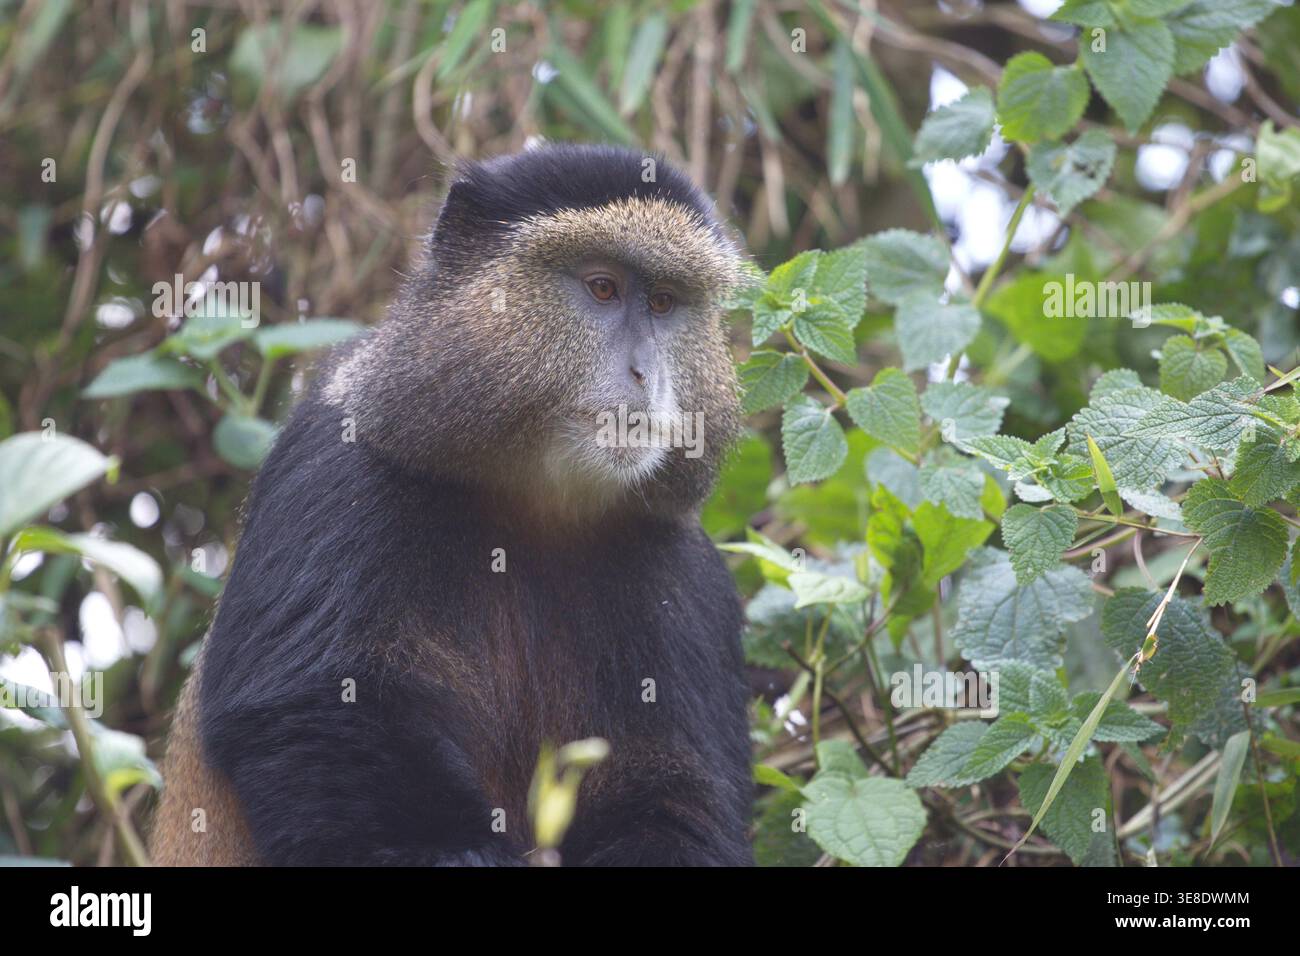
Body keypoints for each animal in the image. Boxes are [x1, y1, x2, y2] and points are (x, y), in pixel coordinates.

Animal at [150, 143, 755, 866]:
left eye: (664, 302)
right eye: (603, 287)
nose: (645, 374)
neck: (534, 500)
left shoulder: (685, 567)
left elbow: (677, 787)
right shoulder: (335, 472)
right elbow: (319, 710)